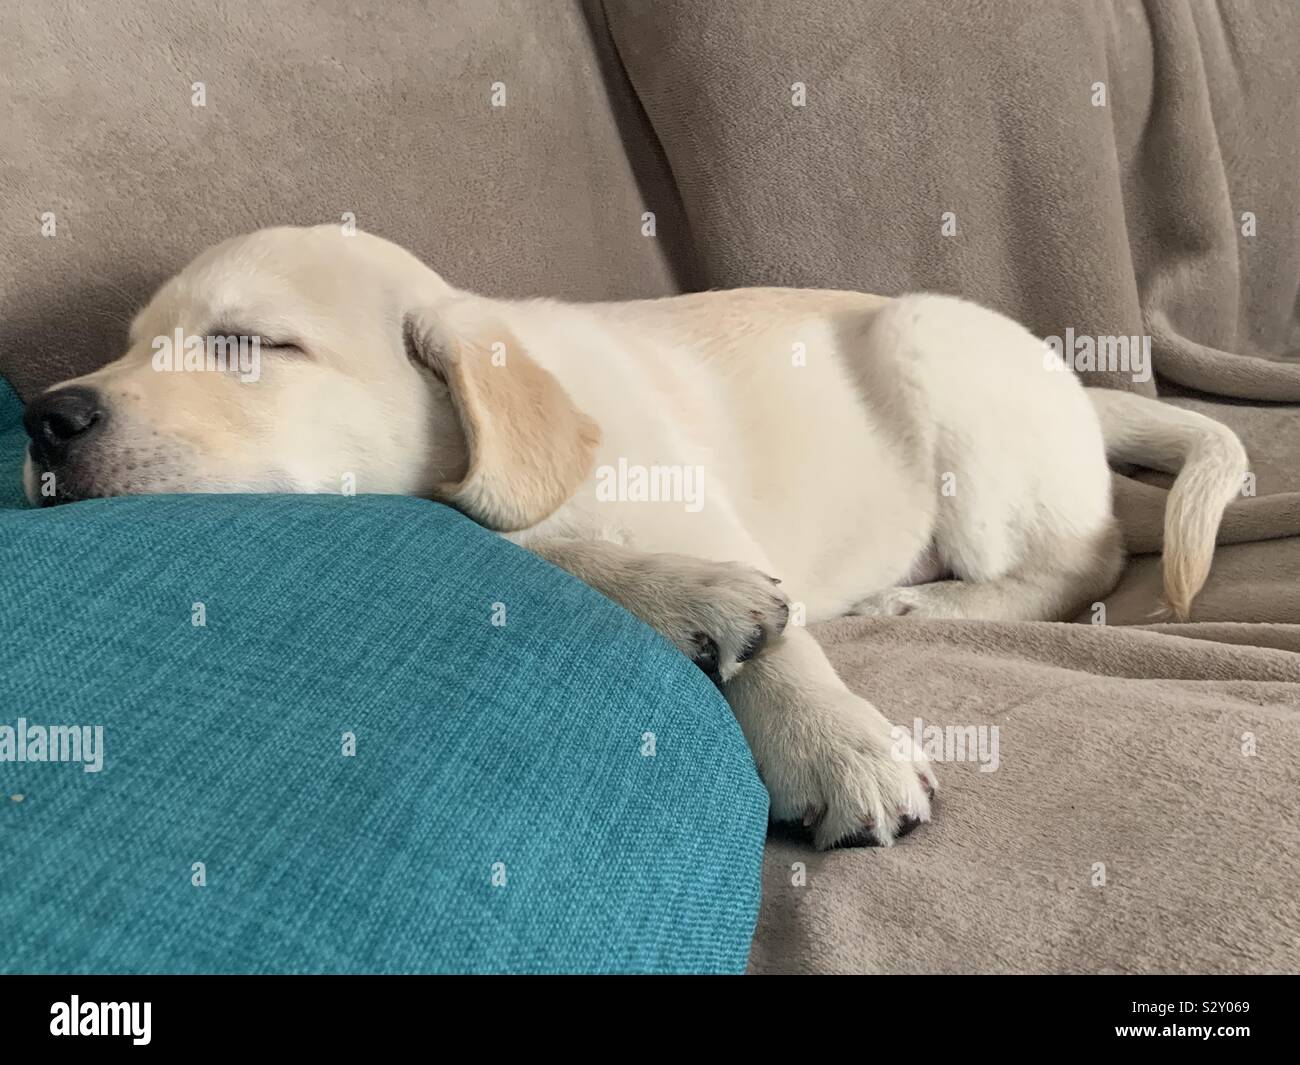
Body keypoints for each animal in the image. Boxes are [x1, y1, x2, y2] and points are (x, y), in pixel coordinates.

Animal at [15, 224, 1242, 847]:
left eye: (248, 345)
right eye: (128, 345)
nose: (45, 419)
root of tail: (1076, 389)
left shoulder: (691, 500)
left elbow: (782, 640)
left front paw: (833, 741)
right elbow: (544, 548)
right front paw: (696, 603)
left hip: (934, 350)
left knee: (1089, 552)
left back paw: (923, 597)